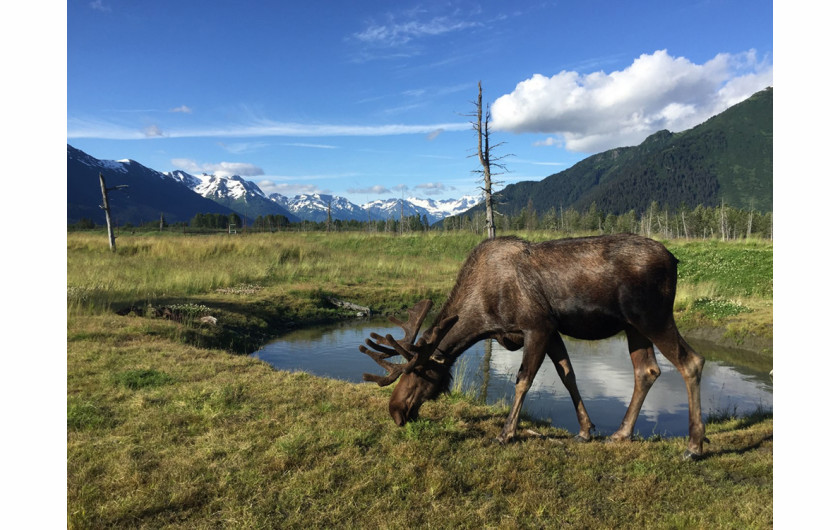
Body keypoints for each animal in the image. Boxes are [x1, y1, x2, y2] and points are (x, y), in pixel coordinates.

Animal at [360, 233, 708, 456]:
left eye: (417, 374)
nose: (395, 411)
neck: (485, 317)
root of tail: (674, 260)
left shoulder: (537, 326)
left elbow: (523, 380)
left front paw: (505, 433)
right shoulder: (552, 331)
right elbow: (568, 376)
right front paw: (586, 430)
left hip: (652, 317)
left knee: (691, 361)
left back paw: (694, 445)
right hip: (633, 326)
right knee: (646, 371)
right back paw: (622, 434)